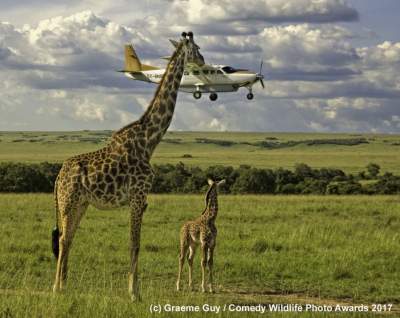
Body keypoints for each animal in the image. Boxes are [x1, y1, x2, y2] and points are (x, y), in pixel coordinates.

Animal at [51, 32, 205, 300]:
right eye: (195, 48)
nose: (203, 60)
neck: (149, 141)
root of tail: (58, 177)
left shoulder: (141, 200)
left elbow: (136, 243)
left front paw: (136, 290)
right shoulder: (137, 195)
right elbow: (135, 243)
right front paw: (134, 293)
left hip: (80, 203)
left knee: (67, 238)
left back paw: (64, 285)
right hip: (67, 202)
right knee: (62, 239)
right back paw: (57, 287)